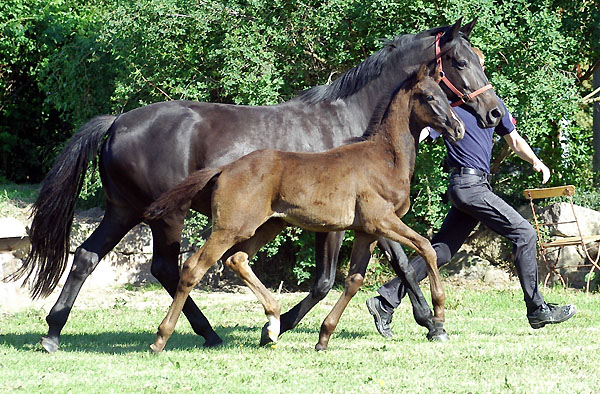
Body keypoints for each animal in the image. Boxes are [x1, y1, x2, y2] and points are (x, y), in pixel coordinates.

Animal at [144, 66, 464, 352]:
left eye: (445, 95)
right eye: (429, 97)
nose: (458, 128)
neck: (385, 158)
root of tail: (224, 169)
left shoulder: (366, 231)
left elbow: (354, 280)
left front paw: (324, 337)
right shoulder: (381, 221)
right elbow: (427, 247)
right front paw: (438, 316)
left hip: (268, 225)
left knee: (237, 259)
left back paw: (273, 323)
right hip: (231, 227)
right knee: (193, 267)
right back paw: (162, 339)